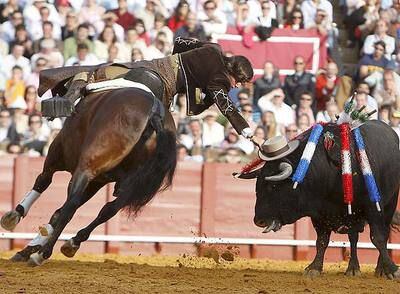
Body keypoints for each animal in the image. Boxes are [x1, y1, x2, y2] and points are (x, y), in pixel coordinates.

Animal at [0, 85, 178, 266]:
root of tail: (155, 114)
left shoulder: (57, 154)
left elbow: (43, 181)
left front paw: (15, 216)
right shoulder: (98, 181)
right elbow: (58, 212)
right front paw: (28, 248)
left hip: (85, 168)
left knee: (71, 205)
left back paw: (43, 253)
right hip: (130, 186)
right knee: (109, 209)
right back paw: (72, 243)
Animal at [250, 121, 396, 278]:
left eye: (273, 186)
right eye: (257, 187)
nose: (258, 220)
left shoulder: (372, 207)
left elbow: (378, 238)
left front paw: (392, 270)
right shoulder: (320, 214)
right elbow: (321, 241)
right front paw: (314, 268)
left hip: (390, 204)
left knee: (384, 233)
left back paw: (380, 269)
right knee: (353, 237)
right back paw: (352, 268)